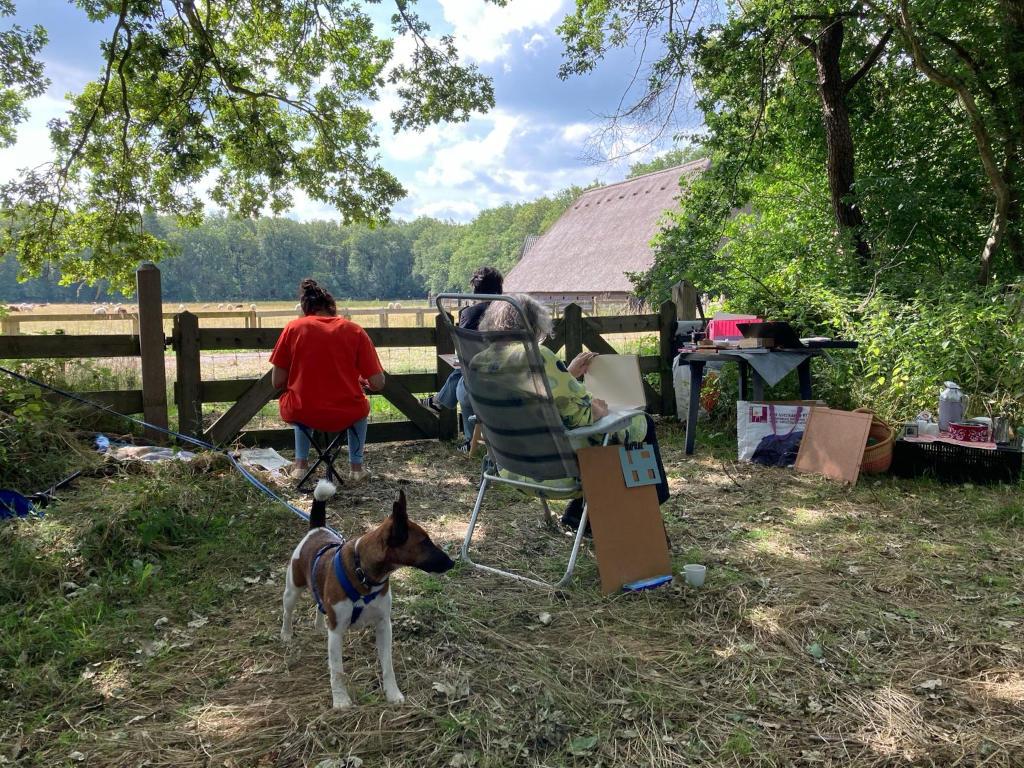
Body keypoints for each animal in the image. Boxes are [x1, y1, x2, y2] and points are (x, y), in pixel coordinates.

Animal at [282, 481, 454, 708]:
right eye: (425, 542)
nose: (452, 562)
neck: (364, 575)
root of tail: (317, 529)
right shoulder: (337, 631)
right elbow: (337, 670)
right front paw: (340, 699)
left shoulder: (383, 625)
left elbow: (388, 665)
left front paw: (392, 693)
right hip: (292, 590)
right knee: (288, 611)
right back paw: (286, 634)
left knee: (320, 606)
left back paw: (319, 627)